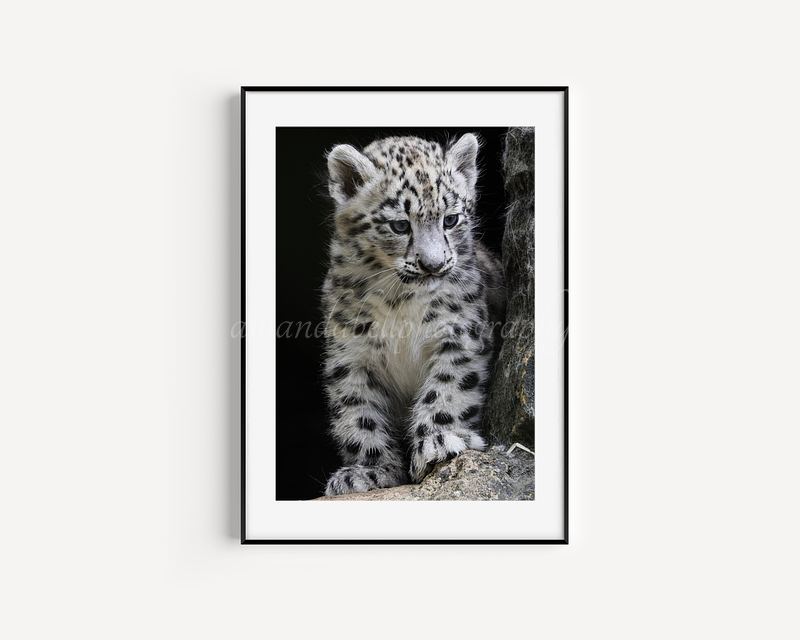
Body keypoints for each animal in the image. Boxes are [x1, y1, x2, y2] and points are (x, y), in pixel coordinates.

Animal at [321, 133, 505, 496]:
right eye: (399, 225)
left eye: (450, 219)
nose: (433, 264)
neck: (400, 300)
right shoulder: (350, 355)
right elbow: (359, 414)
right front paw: (371, 471)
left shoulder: (460, 335)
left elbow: (447, 389)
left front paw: (437, 442)